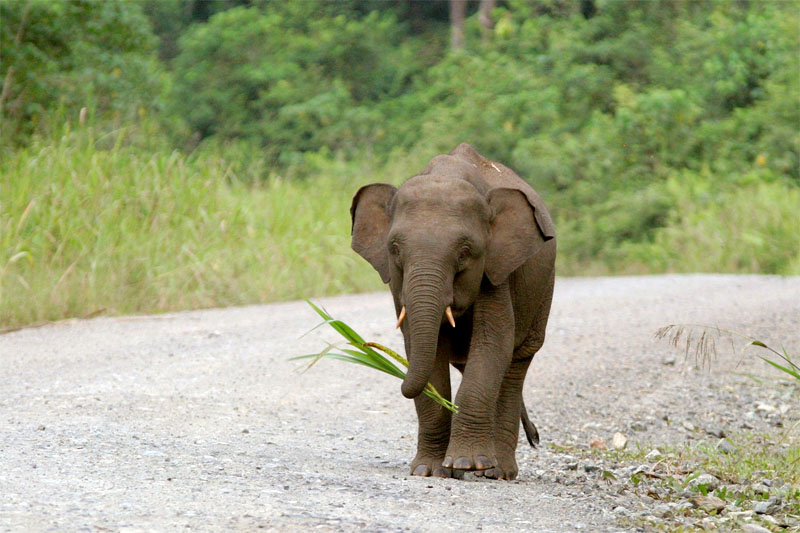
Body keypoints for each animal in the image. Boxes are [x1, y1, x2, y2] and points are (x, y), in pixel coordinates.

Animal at [350, 143, 556, 480]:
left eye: (465, 252)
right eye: (394, 249)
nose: (537, 438)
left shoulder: (496, 270)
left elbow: (494, 343)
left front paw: (465, 464)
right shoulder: (397, 283)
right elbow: (423, 349)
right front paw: (428, 470)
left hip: (542, 293)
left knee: (516, 363)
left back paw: (498, 471)